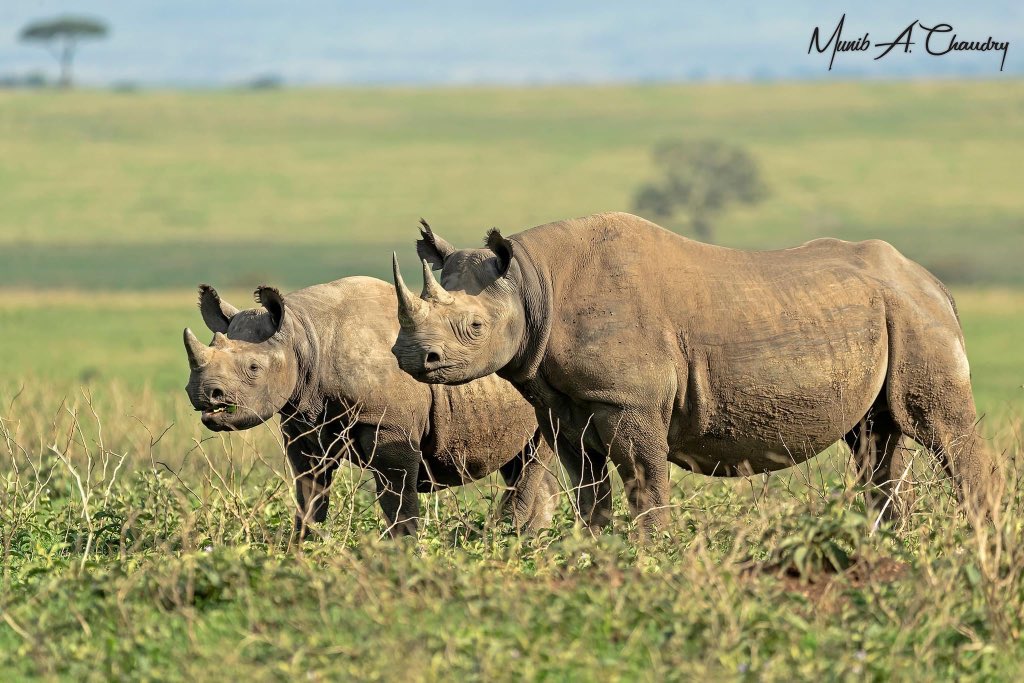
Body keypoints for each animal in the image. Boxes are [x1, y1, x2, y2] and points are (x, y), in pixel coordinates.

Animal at [182, 277, 558, 538]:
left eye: (253, 368)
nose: (202, 394)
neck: (303, 335)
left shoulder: (388, 424)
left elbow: (396, 496)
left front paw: (403, 550)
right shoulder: (303, 422)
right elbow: (309, 494)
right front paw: (301, 548)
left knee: (531, 460)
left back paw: (510, 537)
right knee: (519, 463)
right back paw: (531, 541)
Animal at [391, 212, 1000, 535]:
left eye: (473, 327)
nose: (413, 358)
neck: (534, 284)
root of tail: (934, 283)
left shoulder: (628, 401)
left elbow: (644, 480)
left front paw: (652, 554)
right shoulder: (561, 404)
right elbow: (588, 486)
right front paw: (596, 548)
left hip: (916, 317)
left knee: (942, 430)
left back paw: (983, 539)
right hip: (889, 313)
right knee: (876, 440)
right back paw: (892, 541)